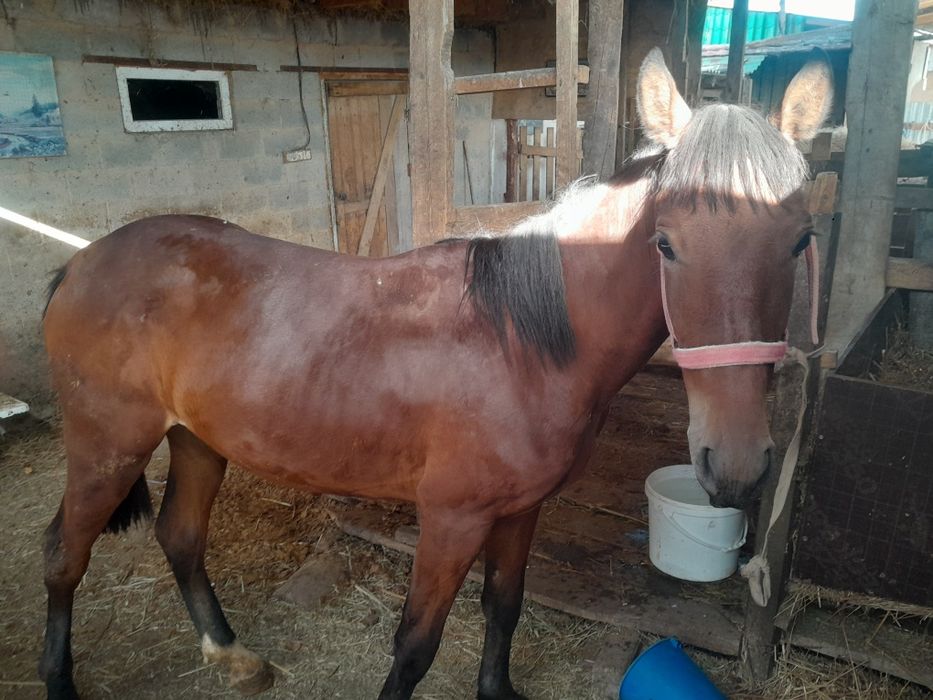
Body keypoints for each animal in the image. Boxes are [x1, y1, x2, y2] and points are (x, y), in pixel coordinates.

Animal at [39, 48, 831, 700]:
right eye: (665, 243)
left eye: (800, 241)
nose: (736, 465)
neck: (522, 344)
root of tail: (83, 262)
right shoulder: (452, 519)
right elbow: (416, 645)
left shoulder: (519, 511)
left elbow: (504, 607)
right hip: (108, 445)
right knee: (63, 556)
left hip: (197, 439)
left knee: (179, 536)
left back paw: (232, 656)